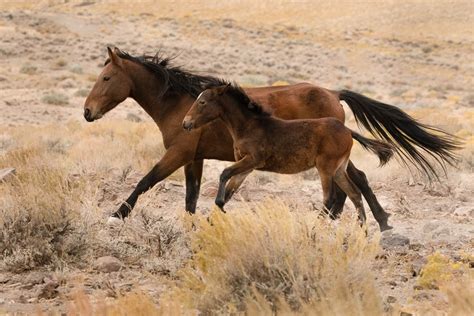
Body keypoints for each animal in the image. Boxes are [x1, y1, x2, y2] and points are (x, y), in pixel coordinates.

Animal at [183, 84, 394, 230]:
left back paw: (315, 228)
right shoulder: (246, 167)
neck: (249, 126)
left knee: (330, 198)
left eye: (202, 102)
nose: (186, 123)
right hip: (338, 170)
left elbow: (224, 174)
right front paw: (212, 219)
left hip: (326, 168)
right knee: (354, 194)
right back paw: (363, 230)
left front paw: (218, 206)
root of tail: (347, 130)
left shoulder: (252, 160)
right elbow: (230, 190)